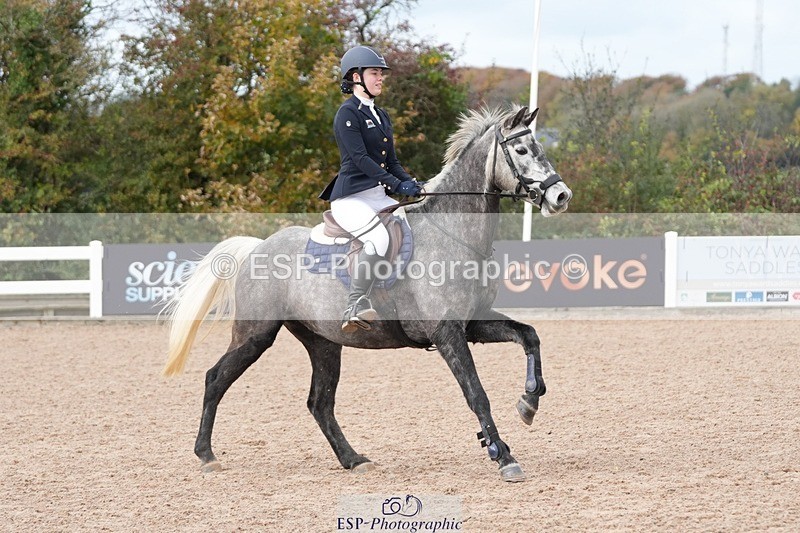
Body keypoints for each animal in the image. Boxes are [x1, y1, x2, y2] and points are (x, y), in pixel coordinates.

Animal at [163, 105, 572, 482]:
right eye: (521, 150)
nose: (561, 195)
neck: (455, 234)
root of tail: (258, 246)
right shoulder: (446, 332)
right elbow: (476, 393)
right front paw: (502, 455)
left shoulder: (472, 324)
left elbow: (529, 335)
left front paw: (528, 402)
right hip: (256, 334)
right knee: (216, 379)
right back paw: (206, 455)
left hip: (323, 342)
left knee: (320, 403)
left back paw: (354, 459)